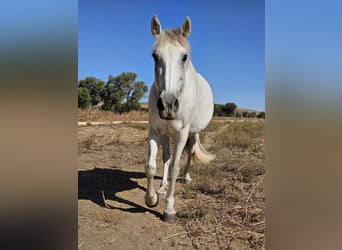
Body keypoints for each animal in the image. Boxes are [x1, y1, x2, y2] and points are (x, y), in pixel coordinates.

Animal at [145, 15, 215, 222]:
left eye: (184, 57)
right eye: (155, 56)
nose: (167, 104)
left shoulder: (182, 134)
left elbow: (175, 167)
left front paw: (169, 209)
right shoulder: (155, 131)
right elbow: (151, 166)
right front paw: (152, 198)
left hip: (193, 133)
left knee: (189, 154)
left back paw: (187, 177)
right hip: (166, 134)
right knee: (166, 158)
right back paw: (162, 188)